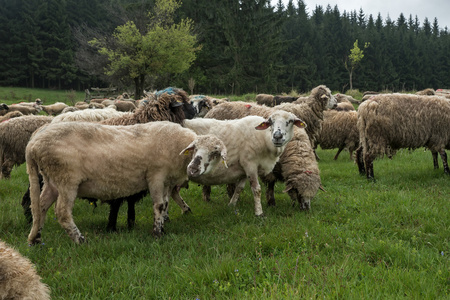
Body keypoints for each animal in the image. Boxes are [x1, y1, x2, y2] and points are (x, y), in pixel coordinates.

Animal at [25, 120, 227, 244]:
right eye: (195, 149)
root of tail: (33, 143)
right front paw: (157, 234)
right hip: (66, 178)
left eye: (214, 153)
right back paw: (80, 240)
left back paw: (35, 239)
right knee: (62, 213)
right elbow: (159, 205)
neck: (177, 149)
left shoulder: (167, 182)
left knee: (40, 206)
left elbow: (165, 204)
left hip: (51, 180)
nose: (193, 169)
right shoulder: (155, 175)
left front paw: (162, 228)